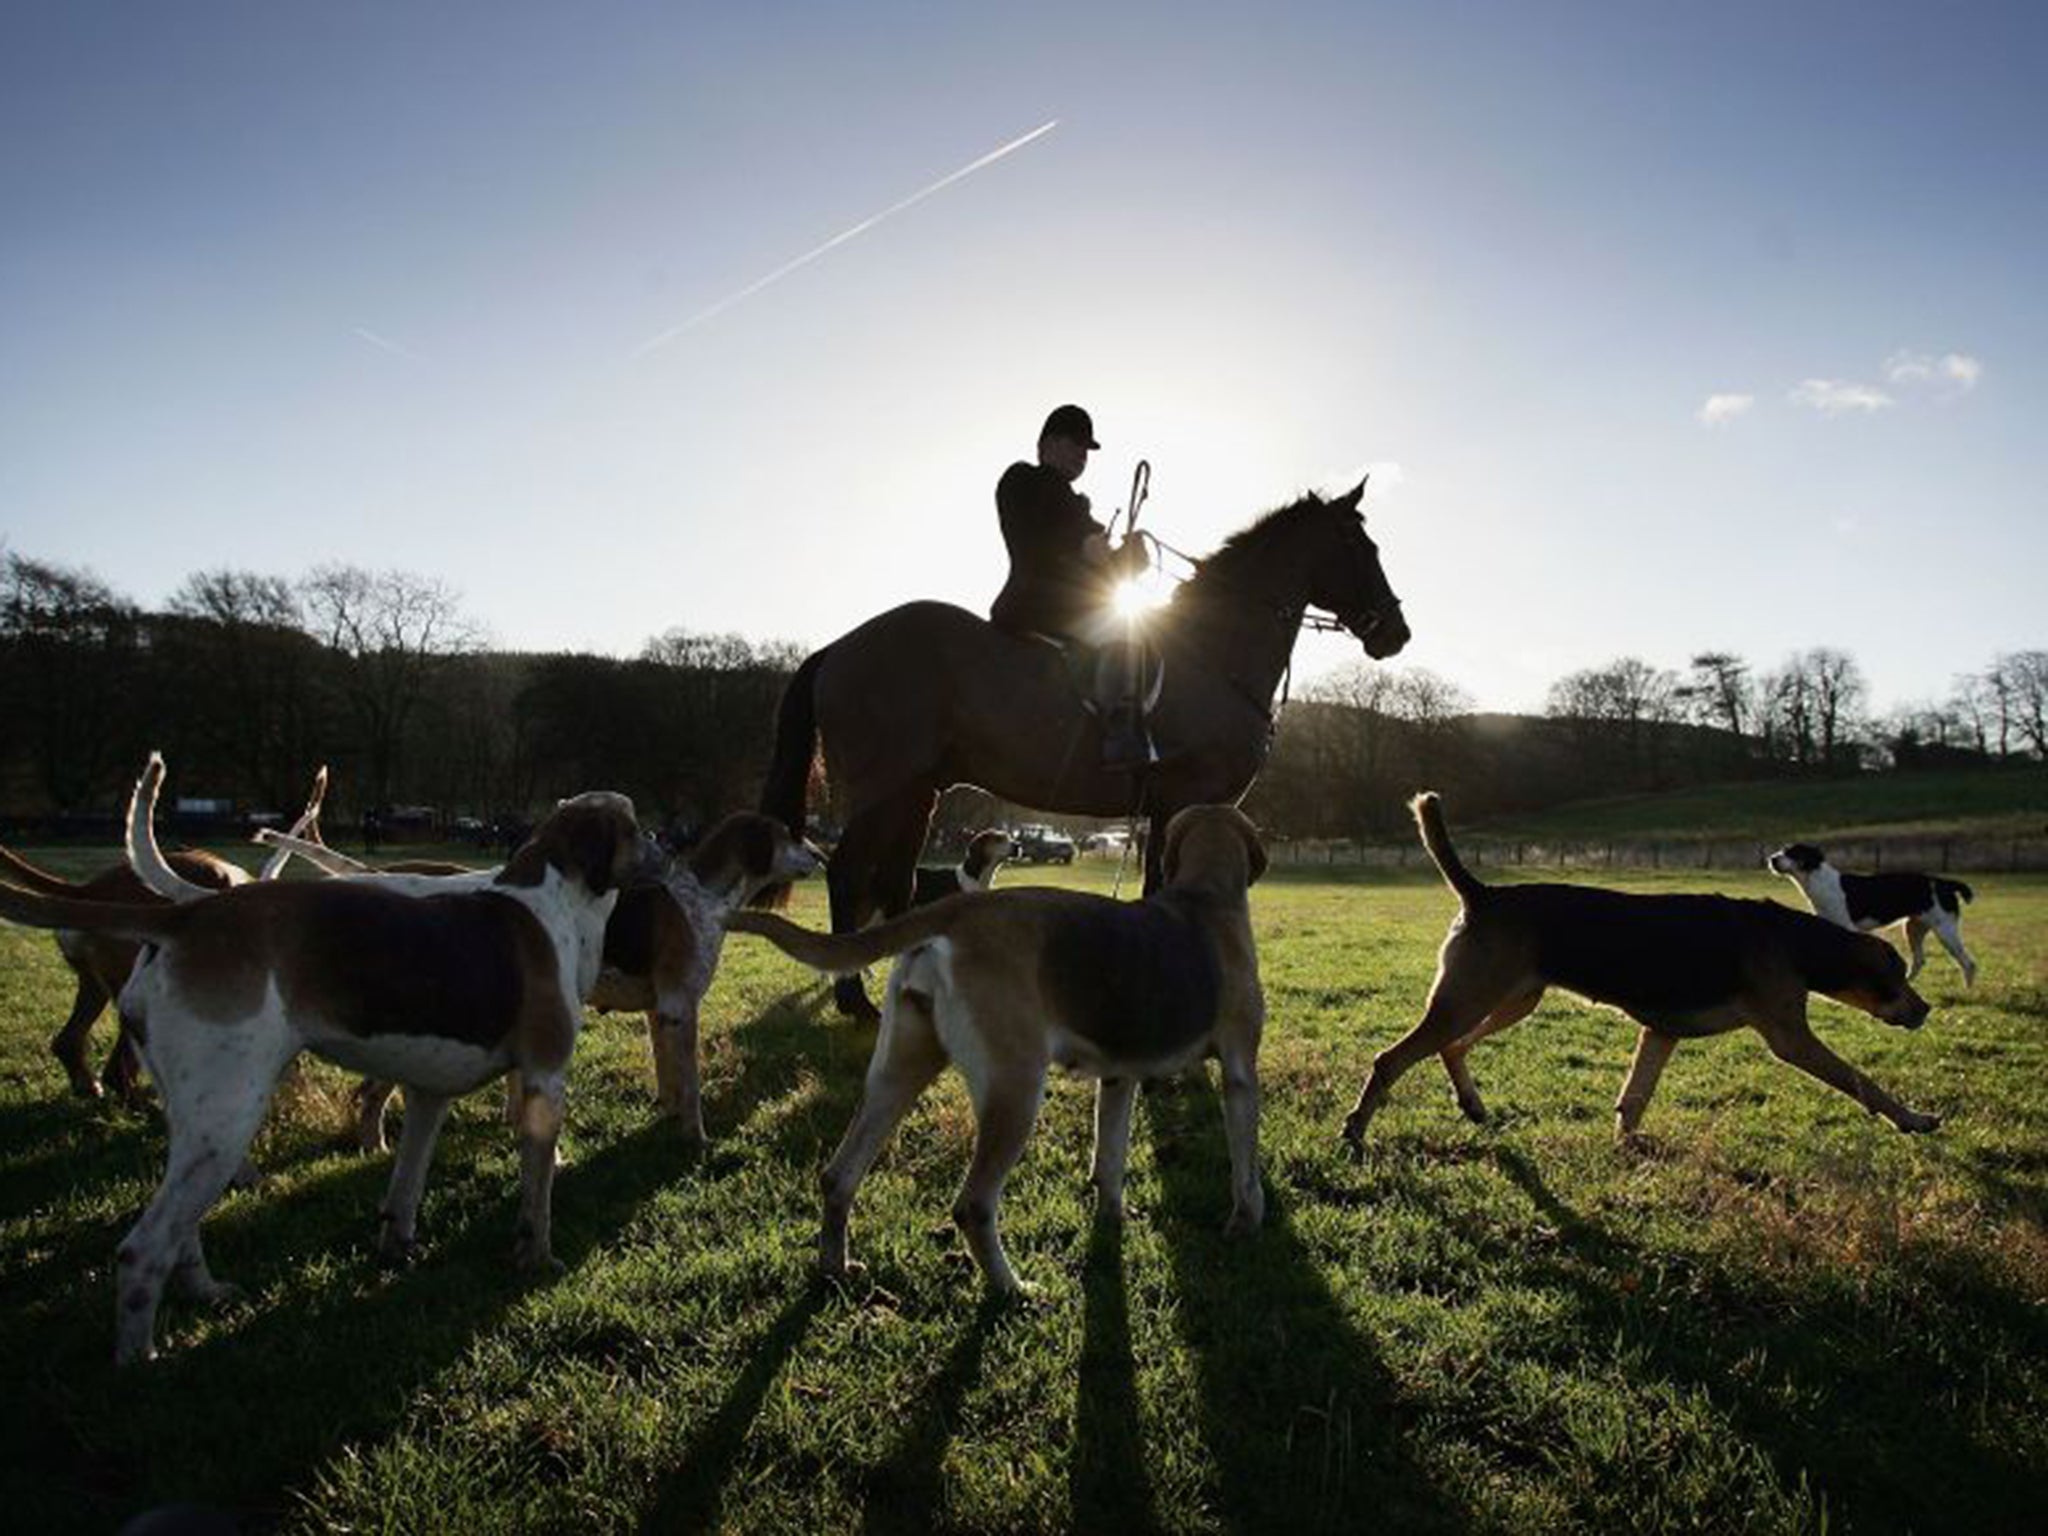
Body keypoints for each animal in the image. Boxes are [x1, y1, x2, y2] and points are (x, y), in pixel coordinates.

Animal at [761, 475, 1417, 1015]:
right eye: (1362, 548)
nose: (1396, 633)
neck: (1213, 654)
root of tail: (841, 645)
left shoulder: (1168, 807)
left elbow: (1158, 885)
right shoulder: (1191, 796)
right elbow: (1168, 887)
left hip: (917, 792)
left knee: (896, 880)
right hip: (881, 787)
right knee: (849, 872)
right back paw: (854, 1001)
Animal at [1769, 843, 1974, 987]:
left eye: (1793, 853)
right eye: (1782, 850)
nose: (1772, 859)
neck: (1820, 882)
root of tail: (1944, 883)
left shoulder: (1847, 928)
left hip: (1945, 930)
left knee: (1968, 963)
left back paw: (1968, 991)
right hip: (1913, 928)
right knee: (1919, 960)